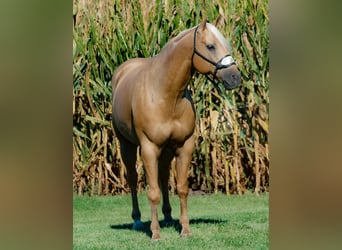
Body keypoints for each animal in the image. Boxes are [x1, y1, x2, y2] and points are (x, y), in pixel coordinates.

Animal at [112, 20, 240, 240]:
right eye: (210, 46)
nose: (235, 77)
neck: (166, 95)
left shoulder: (184, 146)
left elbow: (181, 188)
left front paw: (185, 229)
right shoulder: (148, 148)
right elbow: (153, 192)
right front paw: (155, 233)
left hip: (166, 149)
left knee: (163, 177)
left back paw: (168, 217)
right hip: (126, 145)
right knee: (133, 178)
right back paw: (137, 220)